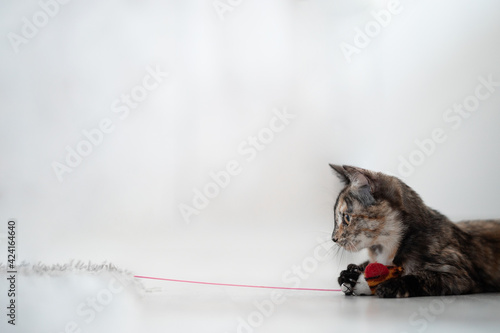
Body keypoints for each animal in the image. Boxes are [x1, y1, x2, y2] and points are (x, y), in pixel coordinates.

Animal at [332, 165, 500, 296]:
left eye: (346, 217)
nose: (334, 238)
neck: (387, 250)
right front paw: (350, 275)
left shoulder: (459, 276)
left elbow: (423, 277)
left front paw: (392, 285)